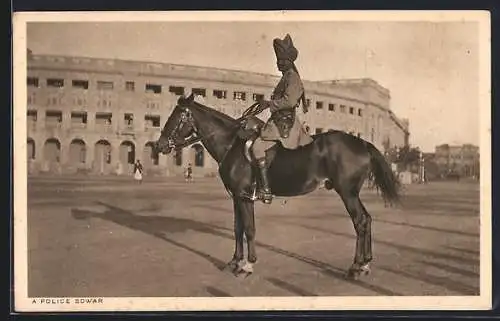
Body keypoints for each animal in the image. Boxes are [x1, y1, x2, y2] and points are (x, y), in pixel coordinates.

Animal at [154, 92, 400, 278]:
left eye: (178, 116)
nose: (159, 145)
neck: (232, 145)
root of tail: (362, 143)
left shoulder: (244, 197)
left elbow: (250, 229)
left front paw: (248, 265)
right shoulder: (237, 198)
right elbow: (238, 228)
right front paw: (234, 261)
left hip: (347, 193)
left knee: (360, 221)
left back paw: (357, 267)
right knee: (366, 219)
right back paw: (365, 264)